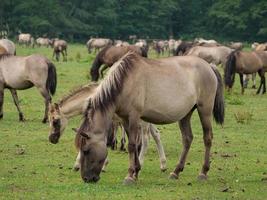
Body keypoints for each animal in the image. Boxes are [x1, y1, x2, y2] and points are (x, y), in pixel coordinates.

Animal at [74, 52, 225, 184]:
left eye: (86, 150)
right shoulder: (125, 119)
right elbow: (134, 145)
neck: (125, 81)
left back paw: (203, 172)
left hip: (204, 110)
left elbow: (132, 145)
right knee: (187, 139)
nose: (87, 178)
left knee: (207, 138)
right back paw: (176, 172)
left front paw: (129, 175)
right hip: (186, 114)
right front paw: (136, 172)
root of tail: (209, 66)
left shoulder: (134, 117)